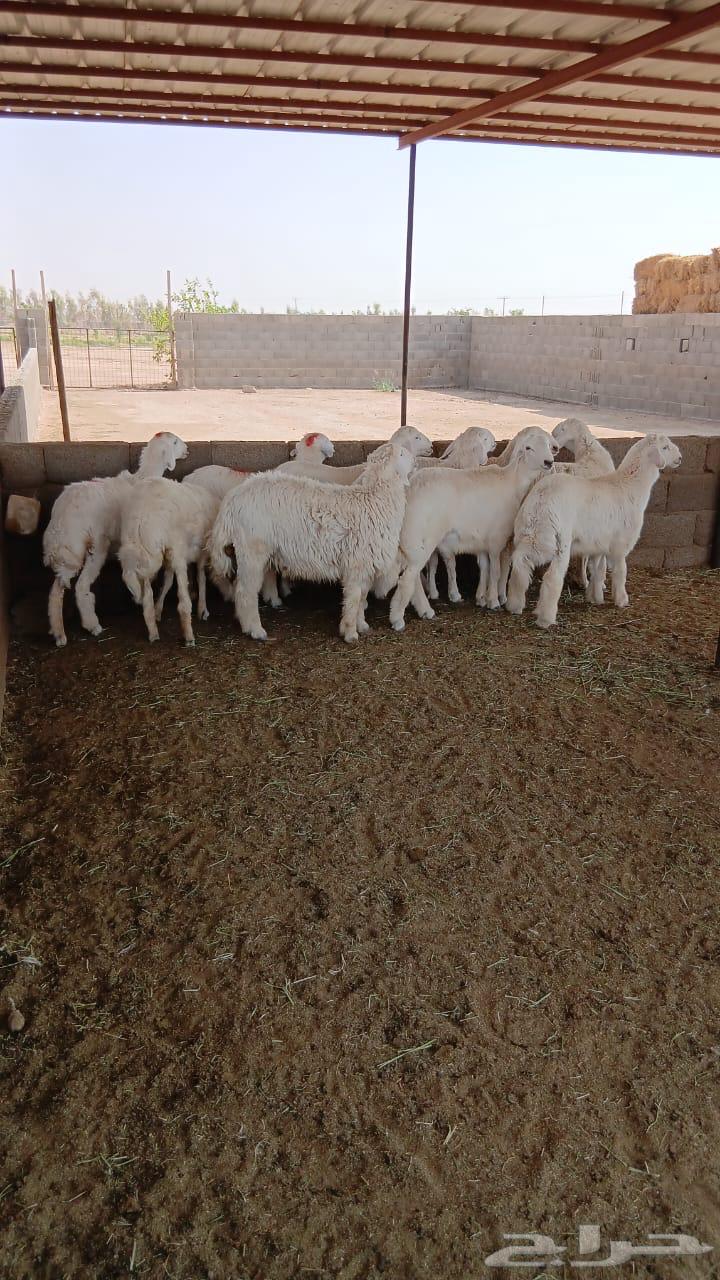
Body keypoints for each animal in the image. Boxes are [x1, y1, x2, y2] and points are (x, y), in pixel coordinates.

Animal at [43, 431, 188, 647]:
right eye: (175, 442)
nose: (187, 450)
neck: (143, 478)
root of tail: (59, 519)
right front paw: (140, 596)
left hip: (67, 550)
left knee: (56, 590)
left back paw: (59, 633)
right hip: (93, 544)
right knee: (81, 586)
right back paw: (92, 625)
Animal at [208, 443, 415, 643]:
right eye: (402, 454)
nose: (415, 460)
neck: (374, 499)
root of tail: (232, 499)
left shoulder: (365, 568)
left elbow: (362, 599)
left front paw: (362, 625)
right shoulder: (356, 565)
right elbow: (354, 600)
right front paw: (350, 633)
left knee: (240, 589)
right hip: (252, 549)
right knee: (245, 592)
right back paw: (256, 630)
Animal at [389, 428, 557, 632]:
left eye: (548, 445)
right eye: (528, 447)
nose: (549, 462)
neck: (513, 481)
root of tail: (410, 488)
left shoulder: (483, 540)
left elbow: (484, 567)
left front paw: (481, 598)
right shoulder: (496, 539)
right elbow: (496, 571)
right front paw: (493, 601)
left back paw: (424, 610)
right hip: (422, 537)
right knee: (408, 578)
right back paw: (399, 618)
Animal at [506, 432, 681, 629]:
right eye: (665, 447)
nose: (680, 458)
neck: (630, 486)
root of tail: (540, 504)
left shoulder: (598, 543)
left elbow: (597, 569)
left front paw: (595, 596)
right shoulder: (620, 543)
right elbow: (621, 571)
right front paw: (621, 600)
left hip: (527, 535)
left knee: (519, 567)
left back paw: (514, 606)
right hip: (560, 542)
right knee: (552, 579)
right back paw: (546, 618)